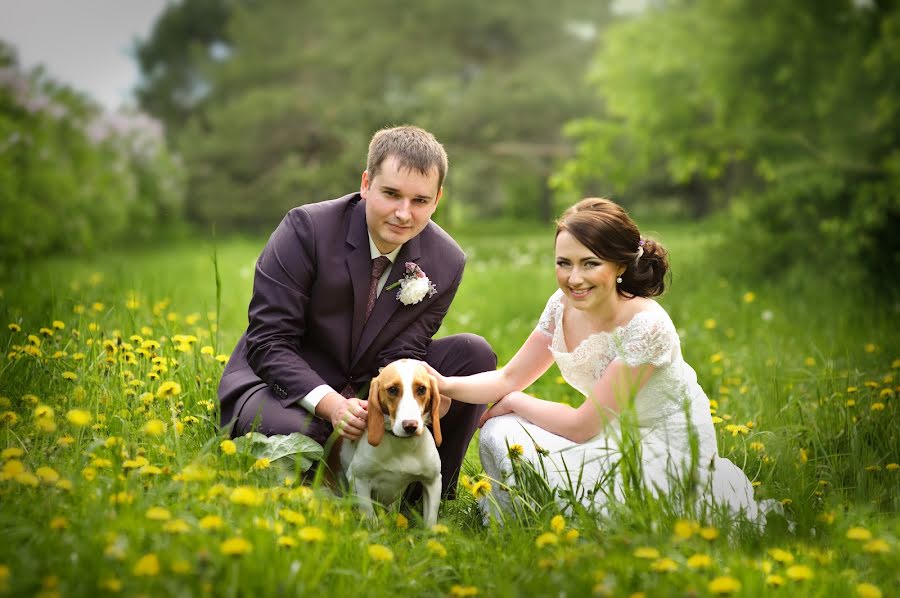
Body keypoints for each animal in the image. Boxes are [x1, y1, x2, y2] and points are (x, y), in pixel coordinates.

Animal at [340, 358, 444, 528]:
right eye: (393, 390)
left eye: (422, 389)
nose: (410, 426)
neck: (402, 446)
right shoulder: (358, 480)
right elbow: (370, 516)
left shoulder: (433, 482)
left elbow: (430, 522)